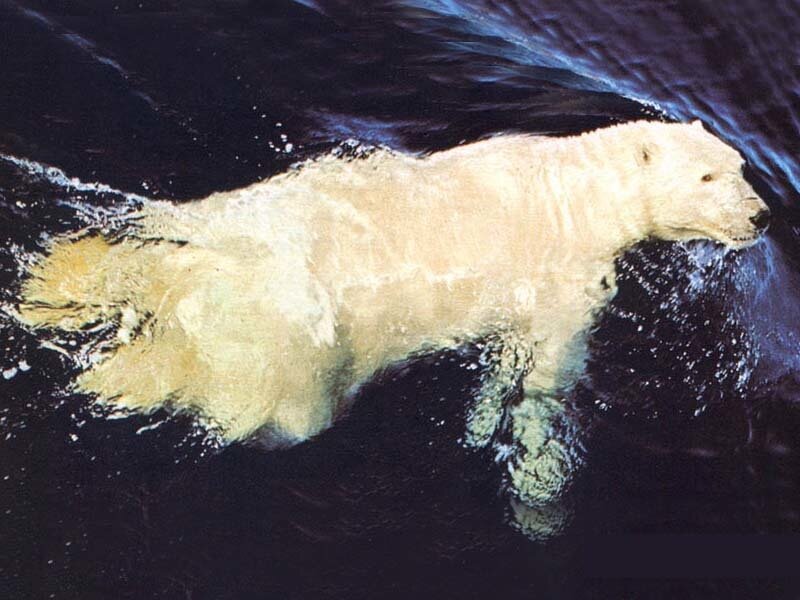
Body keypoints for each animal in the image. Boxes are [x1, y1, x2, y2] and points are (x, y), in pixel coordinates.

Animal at [16, 119, 769, 537]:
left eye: (739, 167)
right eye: (709, 176)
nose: (762, 215)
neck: (572, 187)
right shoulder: (567, 276)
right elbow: (546, 374)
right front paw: (536, 483)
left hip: (207, 229)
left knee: (127, 261)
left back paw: (51, 286)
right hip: (284, 348)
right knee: (250, 396)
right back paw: (114, 380)